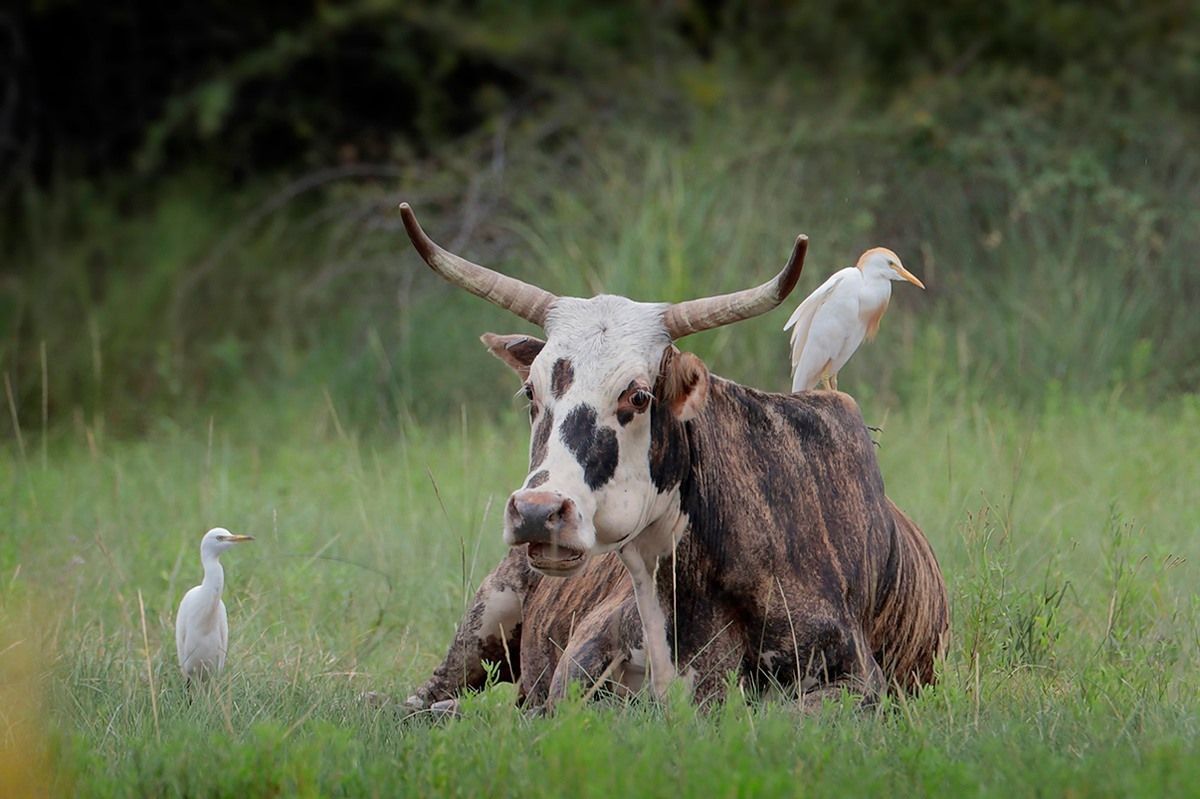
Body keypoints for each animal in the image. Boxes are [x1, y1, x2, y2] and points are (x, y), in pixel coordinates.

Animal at [393, 203, 945, 710]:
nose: (537, 512)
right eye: (531, 390)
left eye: (638, 395)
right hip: (485, 618)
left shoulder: (859, 683)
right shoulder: (572, 674)